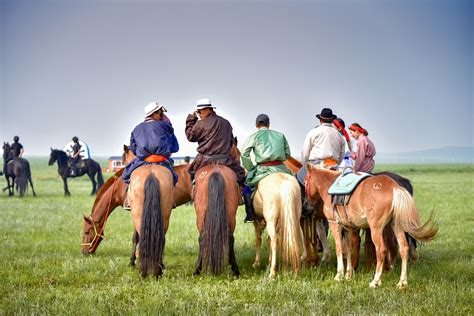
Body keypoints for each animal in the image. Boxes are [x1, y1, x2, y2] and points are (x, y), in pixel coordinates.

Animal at [304, 165, 436, 288]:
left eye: (306, 180)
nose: (307, 204)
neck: (329, 186)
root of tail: (394, 187)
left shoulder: (335, 224)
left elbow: (339, 249)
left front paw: (339, 275)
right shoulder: (348, 228)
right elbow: (348, 248)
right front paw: (348, 274)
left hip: (376, 229)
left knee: (381, 250)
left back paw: (375, 281)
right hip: (397, 226)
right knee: (404, 248)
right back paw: (402, 282)